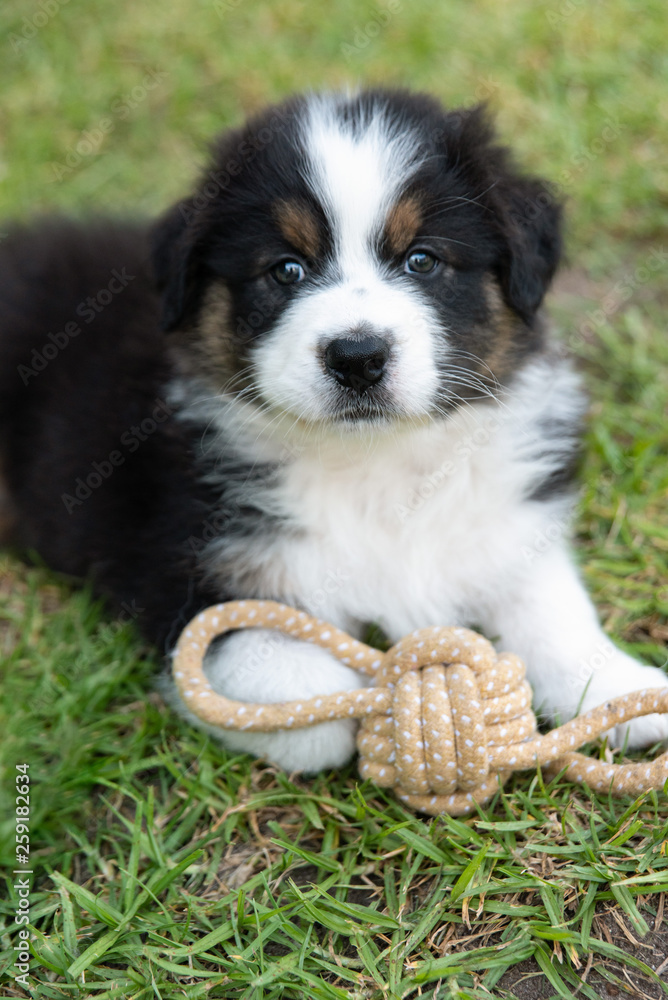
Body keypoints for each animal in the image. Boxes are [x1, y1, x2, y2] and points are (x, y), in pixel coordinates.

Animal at [2, 88, 664, 772]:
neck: (374, 462)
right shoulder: (183, 560)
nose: (357, 357)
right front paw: (353, 701)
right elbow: (299, 704)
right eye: (286, 270)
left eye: (422, 260)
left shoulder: (506, 517)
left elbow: (551, 605)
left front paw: (618, 688)